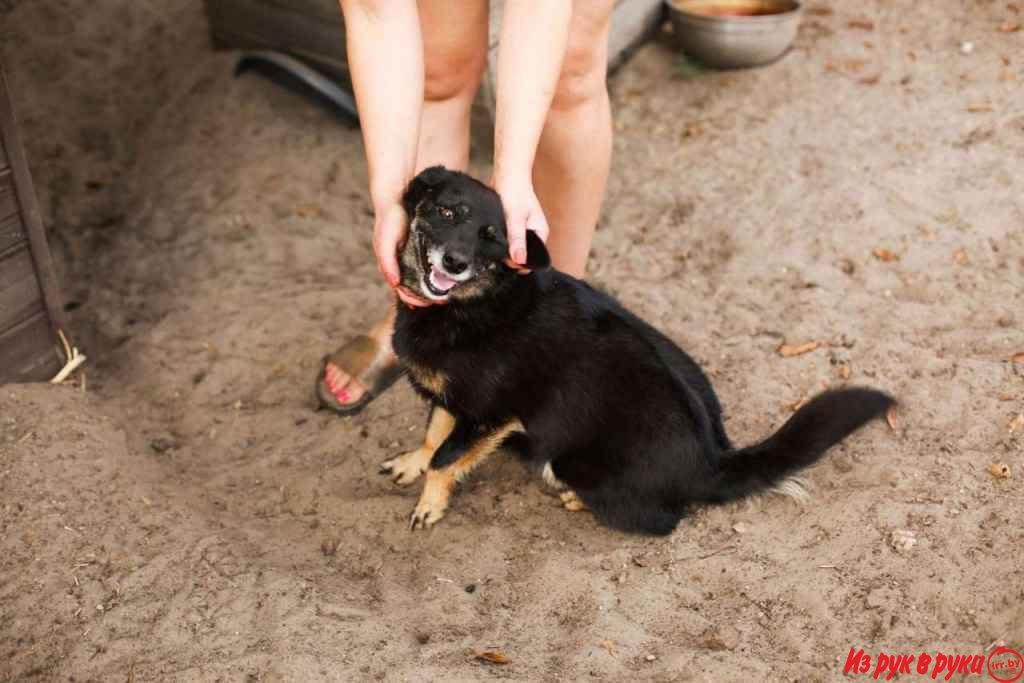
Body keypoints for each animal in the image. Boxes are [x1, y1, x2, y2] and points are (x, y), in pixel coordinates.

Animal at [380, 163, 892, 532]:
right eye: (448, 213)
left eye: (494, 239)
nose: (455, 262)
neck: (474, 303)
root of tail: (712, 463)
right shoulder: (453, 399)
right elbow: (434, 433)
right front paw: (412, 463)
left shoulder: (491, 415)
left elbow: (447, 457)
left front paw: (429, 504)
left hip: (569, 462)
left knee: (662, 521)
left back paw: (579, 500)